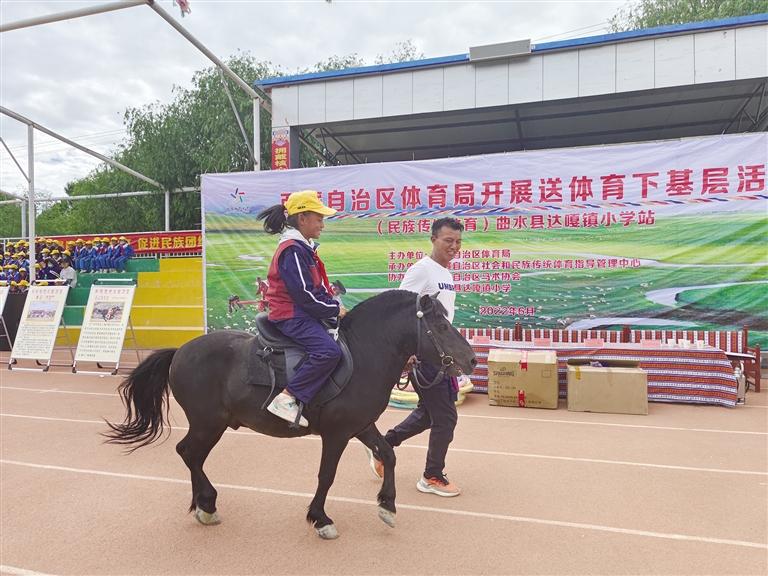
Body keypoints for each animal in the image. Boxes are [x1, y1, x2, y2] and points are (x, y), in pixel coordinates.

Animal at [104, 290, 476, 539]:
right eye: (441, 325)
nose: (472, 359)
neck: (363, 354)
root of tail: (180, 351)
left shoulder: (361, 425)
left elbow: (388, 453)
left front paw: (387, 506)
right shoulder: (337, 433)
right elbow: (326, 475)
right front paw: (321, 518)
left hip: (211, 425)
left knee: (192, 455)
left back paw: (202, 505)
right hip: (208, 424)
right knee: (188, 453)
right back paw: (207, 504)